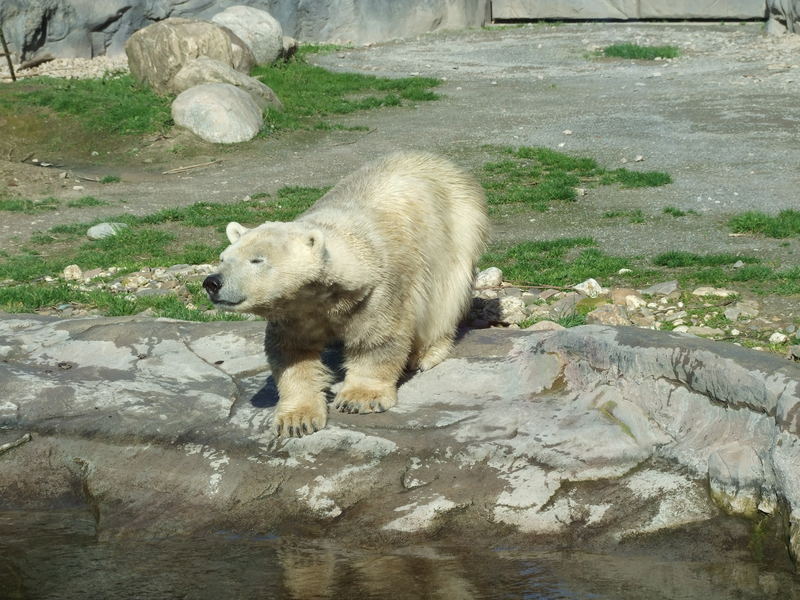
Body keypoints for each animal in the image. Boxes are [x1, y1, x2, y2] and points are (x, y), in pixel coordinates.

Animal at [203, 154, 488, 436]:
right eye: (224, 258)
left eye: (257, 260)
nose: (212, 282)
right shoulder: (295, 312)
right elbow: (292, 353)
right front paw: (297, 419)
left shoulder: (376, 292)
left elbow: (377, 340)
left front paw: (359, 399)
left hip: (455, 231)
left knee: (444, 301)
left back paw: (425, 354)